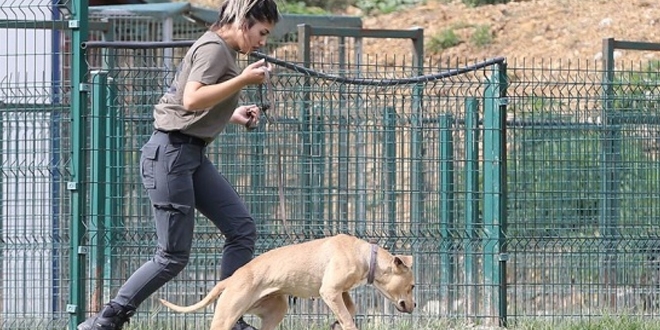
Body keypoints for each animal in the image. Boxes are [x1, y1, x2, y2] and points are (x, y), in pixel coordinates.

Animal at [159, 233, 412, 328]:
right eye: (412, 286)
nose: (415, 304)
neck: (366, 256)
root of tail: (230, 279)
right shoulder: (330, 291)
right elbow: (347, 317)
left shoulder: (340, 292)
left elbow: (349, 308)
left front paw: (336, 323)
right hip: (226, 315)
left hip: (275, 308)